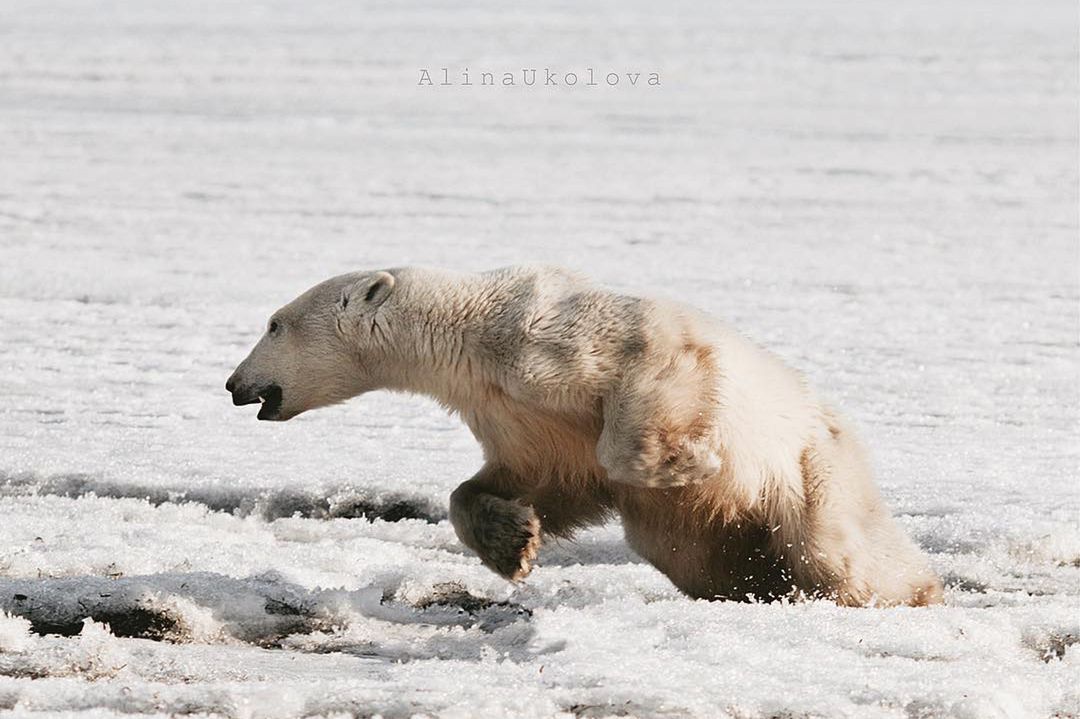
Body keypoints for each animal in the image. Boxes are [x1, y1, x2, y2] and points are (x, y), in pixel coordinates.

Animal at [227, 264, 946, 604]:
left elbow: (645, 385)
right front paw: (513, 546)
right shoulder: (511, 408)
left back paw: (899, 592)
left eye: (273, 324)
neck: (471, 334)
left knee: (837, 549)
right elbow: (534, 478)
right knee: (691, 550)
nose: (234, 383)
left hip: (812, 466)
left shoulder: (563, 342)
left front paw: (682, 463)